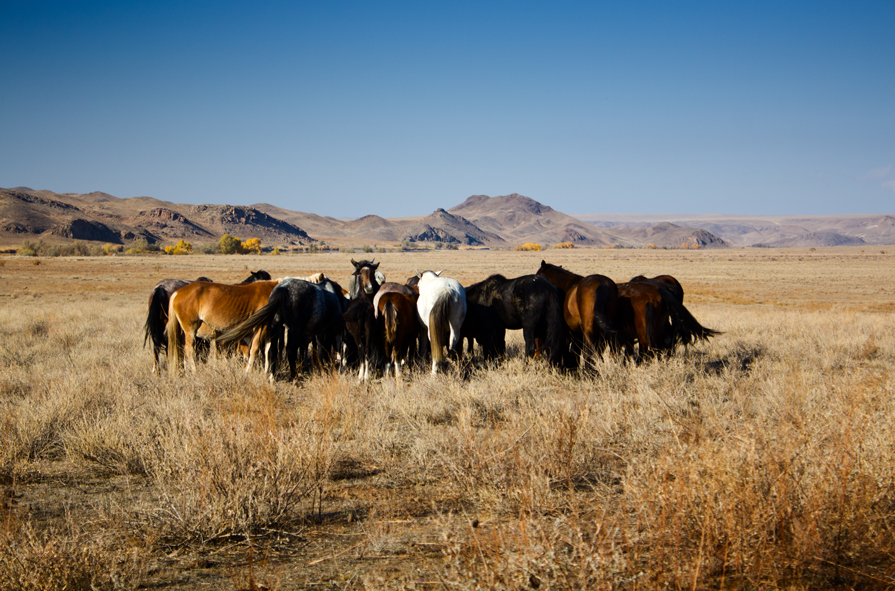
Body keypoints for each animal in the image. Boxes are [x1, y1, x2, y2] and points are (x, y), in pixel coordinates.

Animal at [219, 276, 348, 382]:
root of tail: (282, 290)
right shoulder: (323, 331)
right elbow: (323, 351)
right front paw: (326, 371)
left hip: (277, 327)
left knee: (273, 351)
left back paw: (272, 377)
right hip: (295, 330)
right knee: (290, 352)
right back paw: (295, 379)